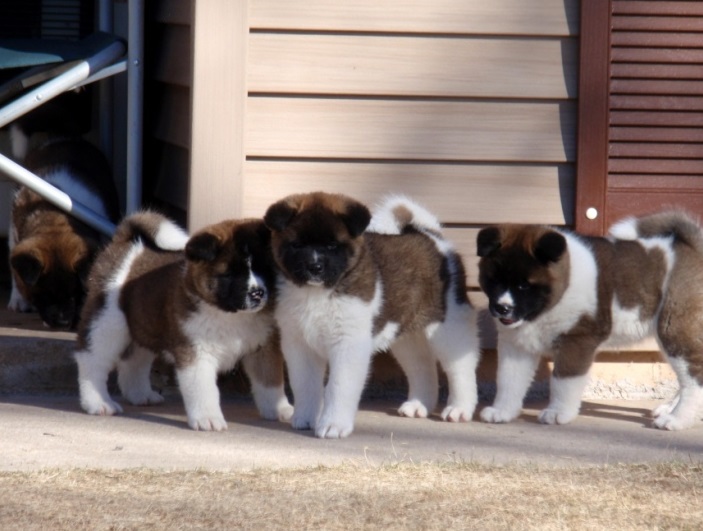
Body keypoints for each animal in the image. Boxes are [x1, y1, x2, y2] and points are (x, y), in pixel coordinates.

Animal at [7, 137, 119, 328]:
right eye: (44, 295)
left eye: (76, 293)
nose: (62, 323)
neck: (54, 215)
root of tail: (65, 138)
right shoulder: (17, 233)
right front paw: (20, 298)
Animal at [75, 210, 296, 430]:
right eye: (229, 274)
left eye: (264, 269)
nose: (258, 293)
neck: (229, 315)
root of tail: (126, 244)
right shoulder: (196, 354)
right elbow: (204, 390)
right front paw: (208, 419)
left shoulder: (263, 348)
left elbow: (270, 382)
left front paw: (280, 410)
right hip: (106, 324)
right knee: (92, 361)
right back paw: (98, 403)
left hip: (143, 325)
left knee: (134, 362)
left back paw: (141, 395)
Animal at [266, 193, 482, 438]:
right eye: (297, 245)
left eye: (332, 245)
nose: (315, 267)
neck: (318, 293)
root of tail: (430, 235)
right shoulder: (298, 345)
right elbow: (304, 384)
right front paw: (304, 418)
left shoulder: (348, 344)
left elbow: (338, 386)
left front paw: (333, 425)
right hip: (406, 336)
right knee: (421, 365)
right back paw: (418, 405)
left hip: (450, 326)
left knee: (460, 368)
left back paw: (459, 409)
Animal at [482, 210, 703, 430]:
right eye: (493, 281)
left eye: (524, 286)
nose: (502, 308)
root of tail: (695, 247)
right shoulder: (516, 345)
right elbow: (509, 380)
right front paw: (502, 411)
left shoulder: (577, 340)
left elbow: (563, 381)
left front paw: (557, 413)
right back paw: (672, 410)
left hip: (674, 331)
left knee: (693, 379)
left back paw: (677, 419)